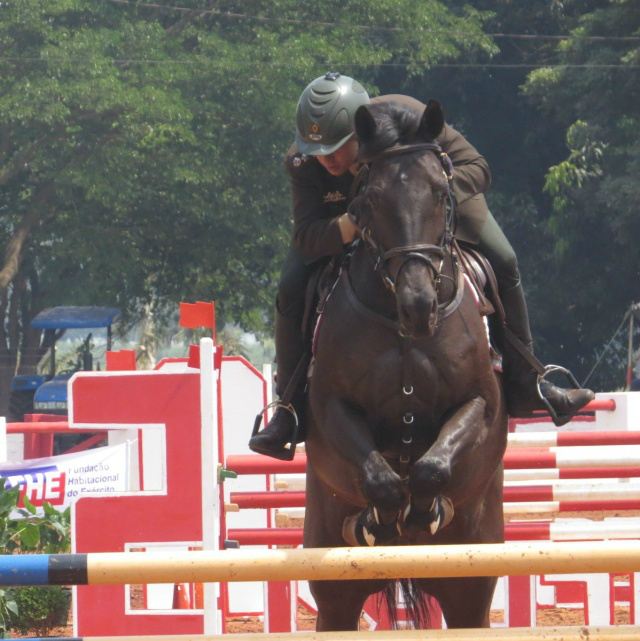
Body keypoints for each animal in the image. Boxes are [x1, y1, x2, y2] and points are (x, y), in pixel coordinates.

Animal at [304, 100, 510, 632]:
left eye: (440, 192)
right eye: (372, 198)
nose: (419, 307)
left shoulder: (480, 403)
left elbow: (432, 466)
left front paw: (424, 510)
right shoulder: (330, 408)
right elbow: (380, 478)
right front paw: (380, 519)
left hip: (472, 584)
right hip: (333, 591)